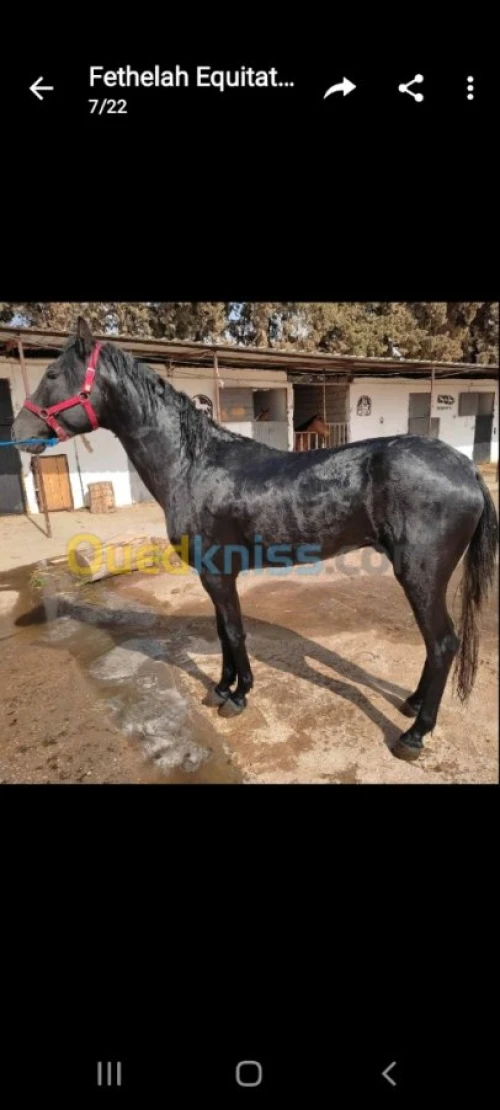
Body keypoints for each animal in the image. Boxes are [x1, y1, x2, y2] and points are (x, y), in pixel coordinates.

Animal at [12, 318, 498, 762]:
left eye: (52, 374)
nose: (19, 433)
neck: (192, 464)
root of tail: (466, 469)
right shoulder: (213, 574)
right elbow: (222, 631)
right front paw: (220, 688)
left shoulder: (217, 572)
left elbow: (233, 631)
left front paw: (238, 695)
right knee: (436, 645)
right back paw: (411, 704)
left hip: (420, 576)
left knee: (443, 643)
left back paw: (414, 735)